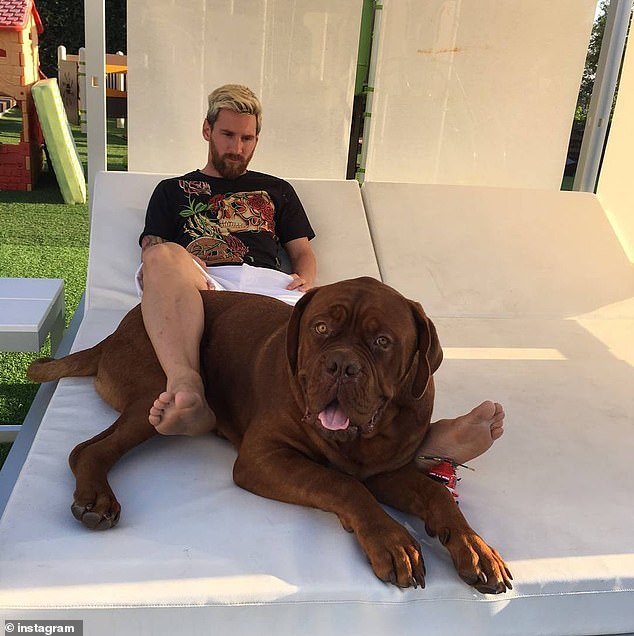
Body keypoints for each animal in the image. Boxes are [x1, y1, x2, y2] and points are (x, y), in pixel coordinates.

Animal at [29, 276, 512, 592]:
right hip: (154, 394)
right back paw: (96, 500)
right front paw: (393, 542)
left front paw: (476, 547)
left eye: (382, 341)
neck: (361, 440)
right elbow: (344, 485)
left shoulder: (386, 469)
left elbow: (435, 494)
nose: (341, 364)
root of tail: (115, 331)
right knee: (87, 449)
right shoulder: (263, 459)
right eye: (321, 328)